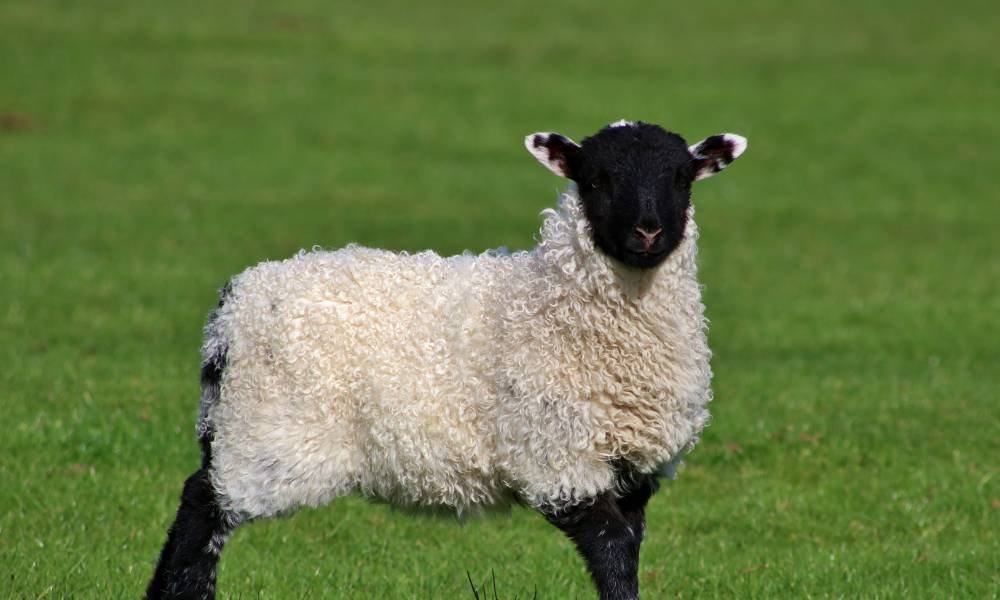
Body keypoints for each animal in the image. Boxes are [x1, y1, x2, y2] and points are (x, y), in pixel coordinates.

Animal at [147, 120, 748, 600]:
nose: (647, 231)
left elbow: (627, 553)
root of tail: (234, 305)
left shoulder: (634, 474)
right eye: (596, 180)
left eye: (681, 179)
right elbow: (612, 554)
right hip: (268, 431)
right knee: (202, 504)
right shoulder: (559, 459)